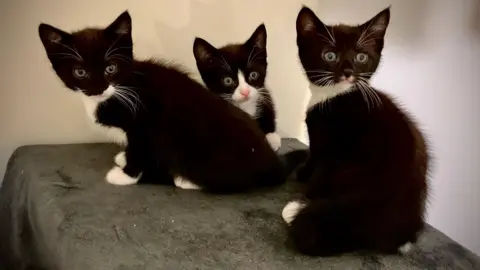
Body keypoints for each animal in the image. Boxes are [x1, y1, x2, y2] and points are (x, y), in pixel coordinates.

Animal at [39, 10, 286, 192]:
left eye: (111, 68)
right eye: (80, 72)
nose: (98, 88)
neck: (120, 90)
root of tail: (272, 165)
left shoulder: (145, 122)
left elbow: (140, 148)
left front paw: (125, 175)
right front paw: (123, 158)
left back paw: (184, 179)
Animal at [280, 5, 430, 255]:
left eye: (361, 57)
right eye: (330, 55)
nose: (349, 72)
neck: (335, 95)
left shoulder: (330, 144)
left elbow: (319, 168)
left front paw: (302, 198)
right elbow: (313, 156)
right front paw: (303, 172)